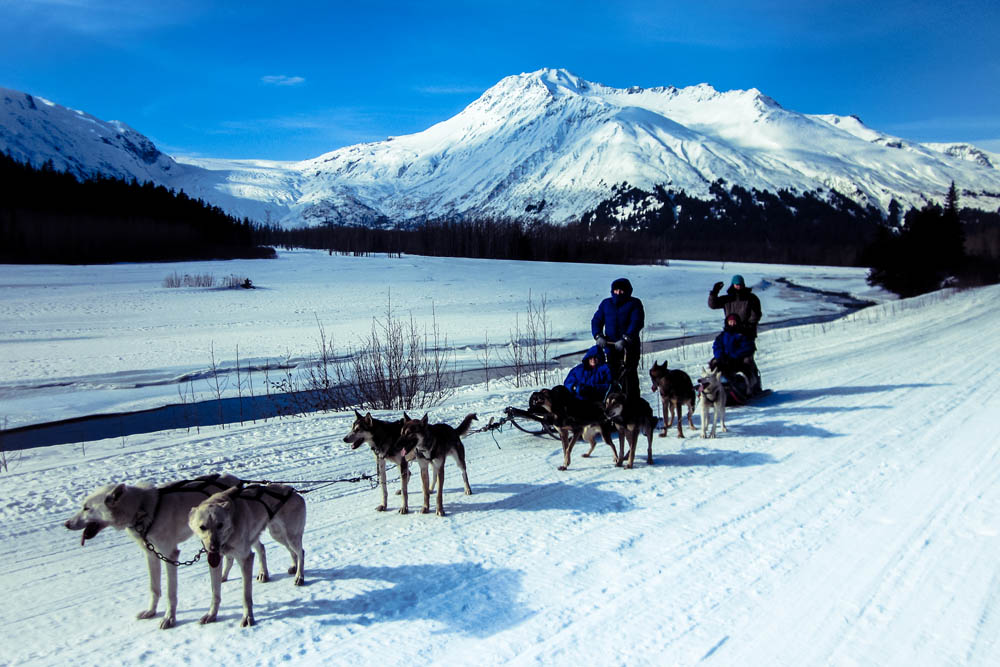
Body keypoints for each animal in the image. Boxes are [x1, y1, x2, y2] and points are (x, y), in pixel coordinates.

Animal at [63, 474, 264, 632]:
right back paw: (228, 575)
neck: (144, 508)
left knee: (258, 549)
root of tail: (234, 480)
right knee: (251, 550)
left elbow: (170, 593)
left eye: (86, 508)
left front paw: (169, 618)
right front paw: (151, 611)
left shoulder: (169, 555)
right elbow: (154, 588)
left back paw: (262, 574)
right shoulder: (151, 555)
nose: (66, 524)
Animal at [188, 482, 304, 628]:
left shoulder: (245, 559)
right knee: (270, 549)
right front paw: (211, 615)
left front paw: (248, 617)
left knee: (300, 552)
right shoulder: (216, 561)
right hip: (276, 535)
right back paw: (275, 571)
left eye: (220, 525)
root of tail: (295, 493)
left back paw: (299, 575)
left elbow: (246, 596)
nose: (213, 547)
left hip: (290, 536)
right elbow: (215, 594)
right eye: (202, 527)